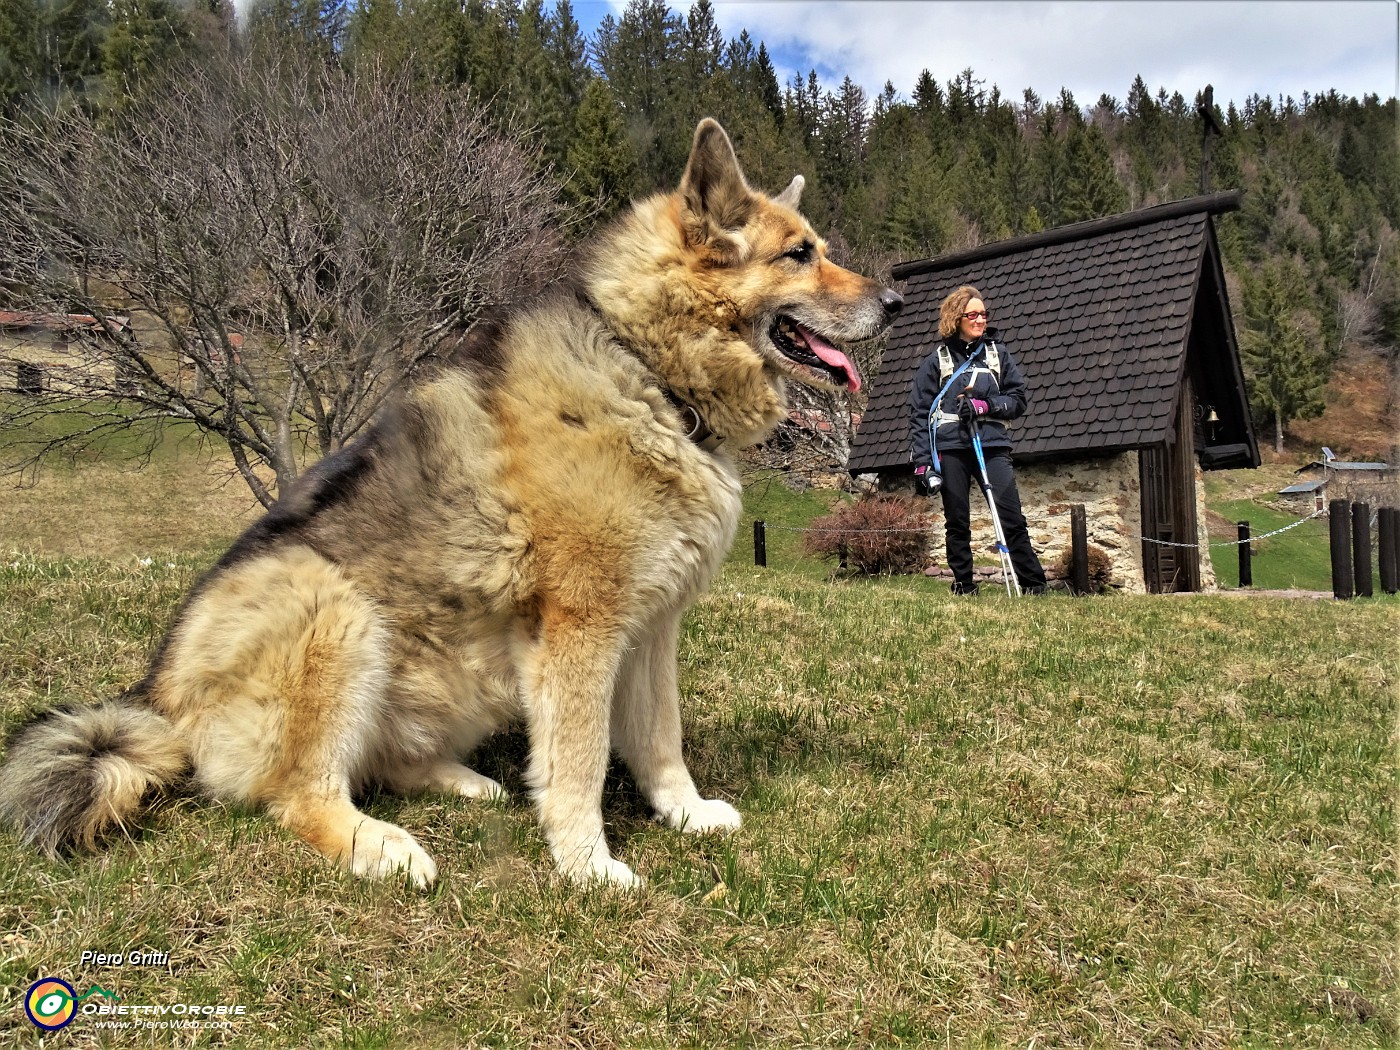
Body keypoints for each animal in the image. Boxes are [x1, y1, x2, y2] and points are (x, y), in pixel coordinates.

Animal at [0, 119, 901, 890]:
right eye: (799, 254)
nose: (896, 304)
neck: (648, 371)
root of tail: (156, 703)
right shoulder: (581, 630)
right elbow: (579, 762)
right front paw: (588, 866)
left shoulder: (651, 629)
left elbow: (659, 741)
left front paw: (684, 815)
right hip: (327, 604)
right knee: (302, 793)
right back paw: (382, 847)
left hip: (460, 678)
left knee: (381, 761)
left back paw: (462, 782)